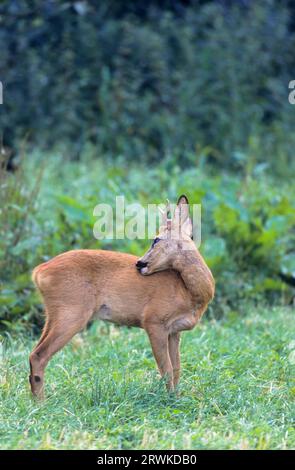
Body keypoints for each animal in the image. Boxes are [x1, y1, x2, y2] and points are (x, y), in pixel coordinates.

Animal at [29, 196, 215, 398]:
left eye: (156, 239)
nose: (140, 263)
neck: (188, 292)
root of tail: (39, 271)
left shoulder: (174, 331)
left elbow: (176, 368)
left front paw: (177, 397)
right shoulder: (153, 321)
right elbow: (166, 368)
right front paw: (169, 398)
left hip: (53, 314)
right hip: (72, 312)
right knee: (39, 355)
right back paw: (41, 402)